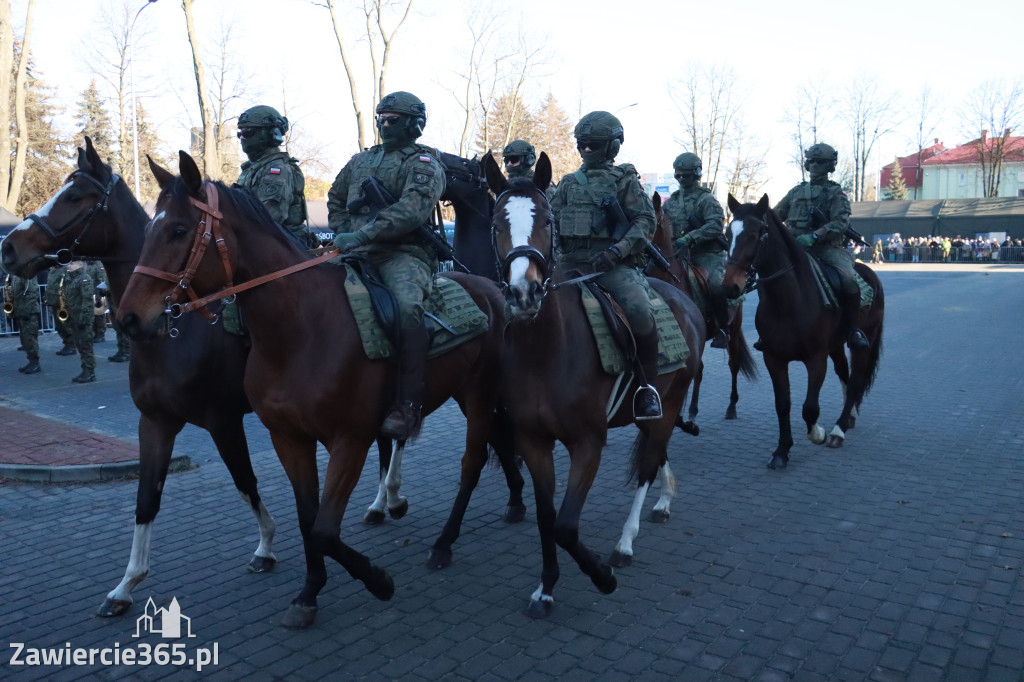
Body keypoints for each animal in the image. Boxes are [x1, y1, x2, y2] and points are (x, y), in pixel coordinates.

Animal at [0, 138, 280, 614]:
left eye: (75, 196)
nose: (9, 247)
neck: (173, 331)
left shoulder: (224, 421)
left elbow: (246, 481)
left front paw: (265, 545)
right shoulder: (155, 423)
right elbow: (146, 499)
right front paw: (126, 584)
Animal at [115, 150, 507, 626]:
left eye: (178, 230)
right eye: (149, 229)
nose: (129, 318)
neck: (300, 332)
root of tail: (490, 286)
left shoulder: (347, 440)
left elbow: (323, 528)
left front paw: (379, 581)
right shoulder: (287, 438)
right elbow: (307, 519)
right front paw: (310, 590)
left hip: (480, 395)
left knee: (470, 464)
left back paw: (443, 541)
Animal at [479, 152, 704, 614]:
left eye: (547, 219)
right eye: (496, 223)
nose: (523, 293)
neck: (546, 350)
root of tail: (682, 299)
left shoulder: (588, 443)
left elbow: (566, 524)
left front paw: (602, 577)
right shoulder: (533, 441)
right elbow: (547, 517)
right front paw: (546, 586)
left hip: (668, 402)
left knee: (648, 463)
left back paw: (625, 543)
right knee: (656, 452)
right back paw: (664, 500)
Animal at [724, 191, 884, 466]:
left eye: (757, 233)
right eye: (727, 234)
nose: (730, 286)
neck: (788, 300)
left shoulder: (816, 359)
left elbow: (810, 408)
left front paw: (817, 433)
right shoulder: (774, 358)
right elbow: (783, 404)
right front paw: (781, 450)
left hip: (864, 341)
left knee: (855, 380)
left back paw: (839, 430)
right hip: (836, 345)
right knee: (844, 374)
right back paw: (850, 416)